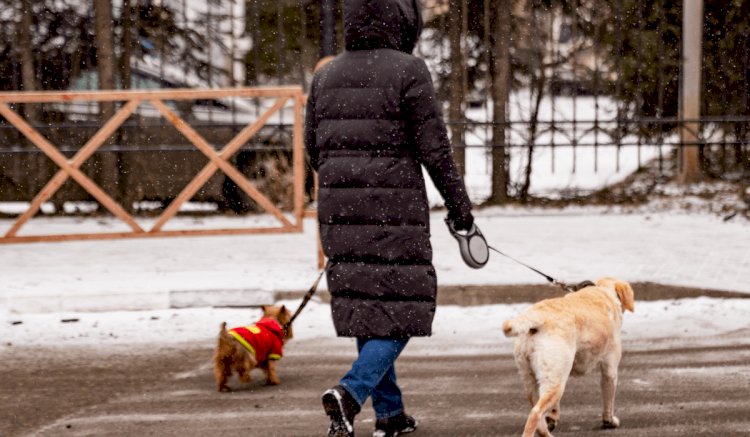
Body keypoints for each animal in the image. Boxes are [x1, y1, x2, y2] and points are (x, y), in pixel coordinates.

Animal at [506, 278, 636, 434]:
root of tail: (535, 319)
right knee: (536, 413)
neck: (603, 292)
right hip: (556, 380)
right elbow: (608, 402)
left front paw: (553, 417)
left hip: (532, 380)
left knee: (538, 418)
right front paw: (609, 422)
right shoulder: (610, 368)